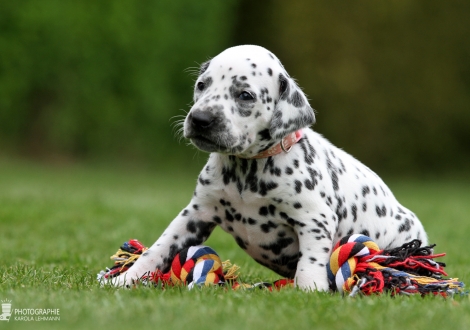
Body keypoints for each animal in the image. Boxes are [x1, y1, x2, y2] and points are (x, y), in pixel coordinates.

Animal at [112, 45, 428, 290]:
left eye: (245, 95)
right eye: (202, 85)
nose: (200, 119)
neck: (246, 170)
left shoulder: (314, 219)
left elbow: (310, 262)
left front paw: (309, 291)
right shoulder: (196, 214)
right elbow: (158, 250)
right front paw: (124, 279)